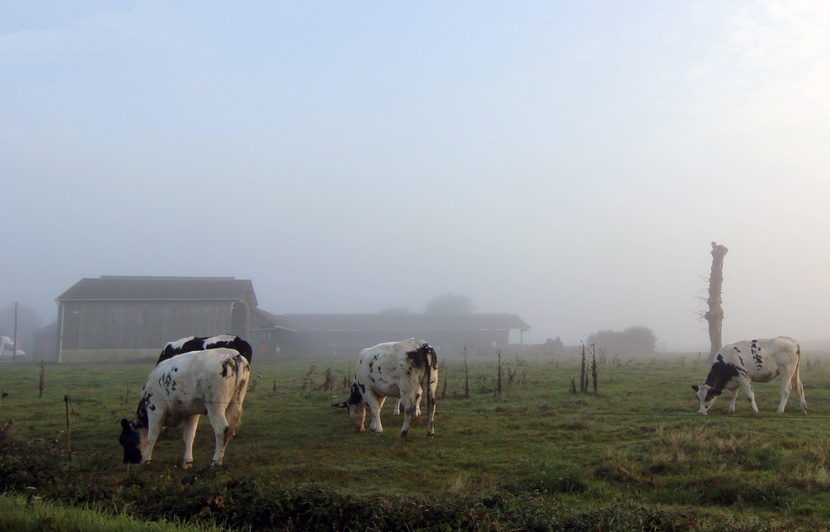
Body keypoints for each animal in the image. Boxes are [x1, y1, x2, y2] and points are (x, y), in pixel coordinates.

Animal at [120, 350, 250, 470]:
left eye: (124, 440)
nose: (127, 461)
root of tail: (232, 355)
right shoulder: (192, 413)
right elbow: (189, 436)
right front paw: (187, 461)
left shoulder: (156, 410)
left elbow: (151, 437)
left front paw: (146, 460)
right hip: (234, 403)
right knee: (229, 431)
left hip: (215, 406)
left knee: (221, 429)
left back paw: (216, 462)